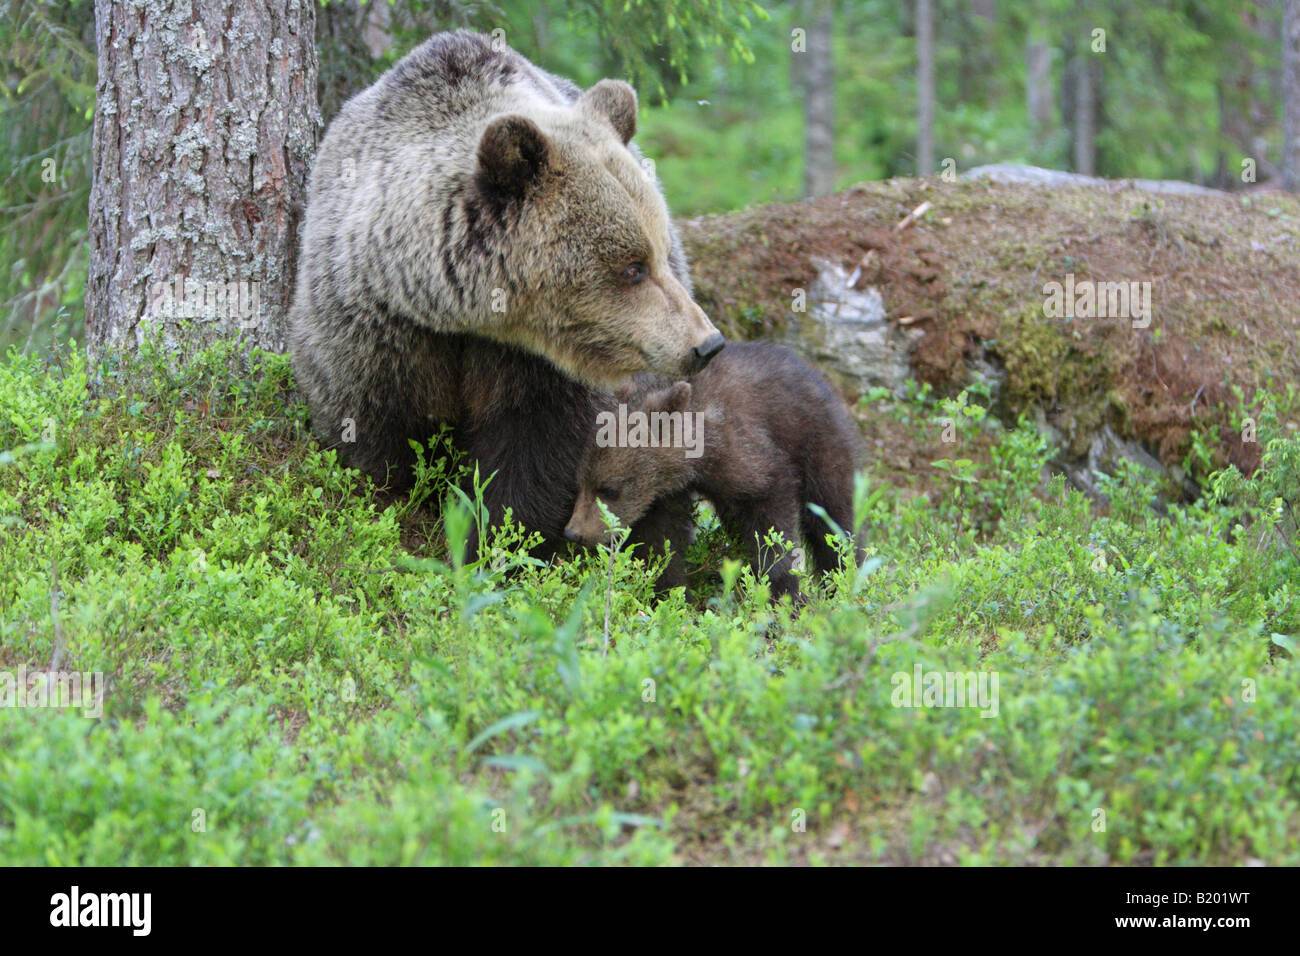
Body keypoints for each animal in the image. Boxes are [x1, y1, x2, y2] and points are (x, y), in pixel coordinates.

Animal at [288, 31, 723, 557]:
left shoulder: (539, 368)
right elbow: (374, 432)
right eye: (632, 267)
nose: (706, 343)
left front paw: (496, 541)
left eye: (660, 251)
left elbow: (537, 453)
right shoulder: (376, 325)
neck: (458, 313)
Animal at [563, 342, 864, 601]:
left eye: (609, 489)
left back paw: (845, 576)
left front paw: (782, 591)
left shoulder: (746, 452)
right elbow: (661, 541)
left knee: (835, 515)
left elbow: (771, 522)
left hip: (819, 440)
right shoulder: (663, 493)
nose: (573, 532)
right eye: (580, 483)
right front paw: (672, 593)